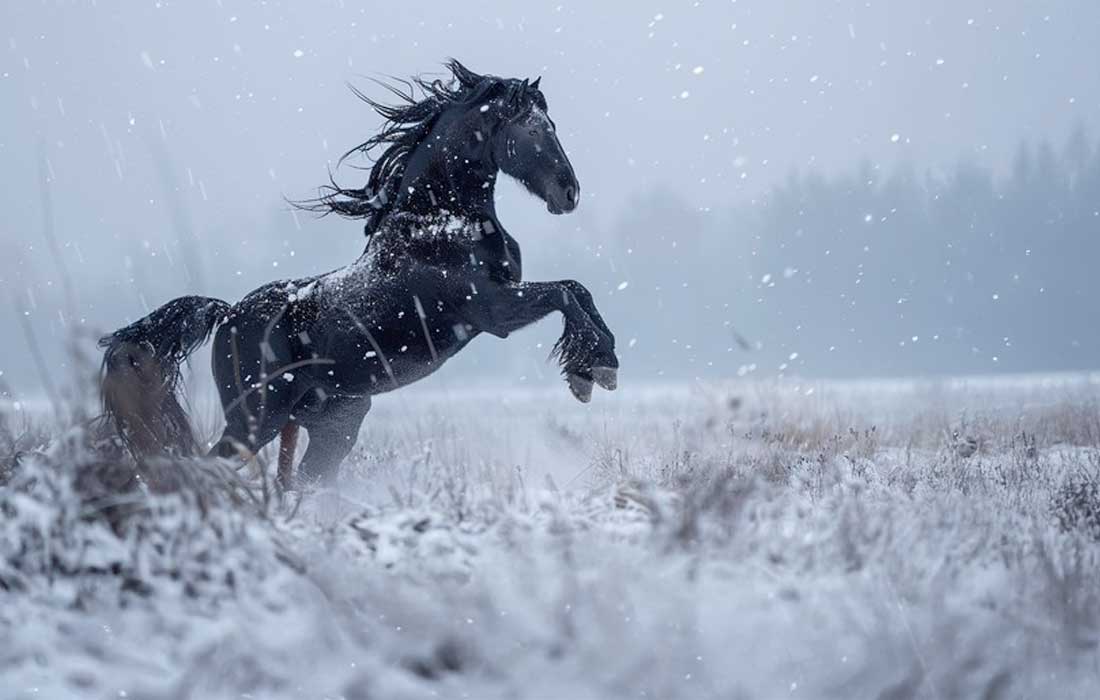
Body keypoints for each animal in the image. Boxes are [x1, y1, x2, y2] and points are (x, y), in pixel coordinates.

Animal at [99, 60, 619, 487]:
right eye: (531, 129)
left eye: (552, 125)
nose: (569, 193)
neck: (439, 223)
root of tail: (226, 315)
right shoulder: (493, 309)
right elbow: (566, 292)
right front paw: (590, 372)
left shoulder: (504, 299)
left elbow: (579, 291)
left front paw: (600, 366)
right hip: (257, 418)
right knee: (211, 465)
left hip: (333, 421)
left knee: (301, 480)